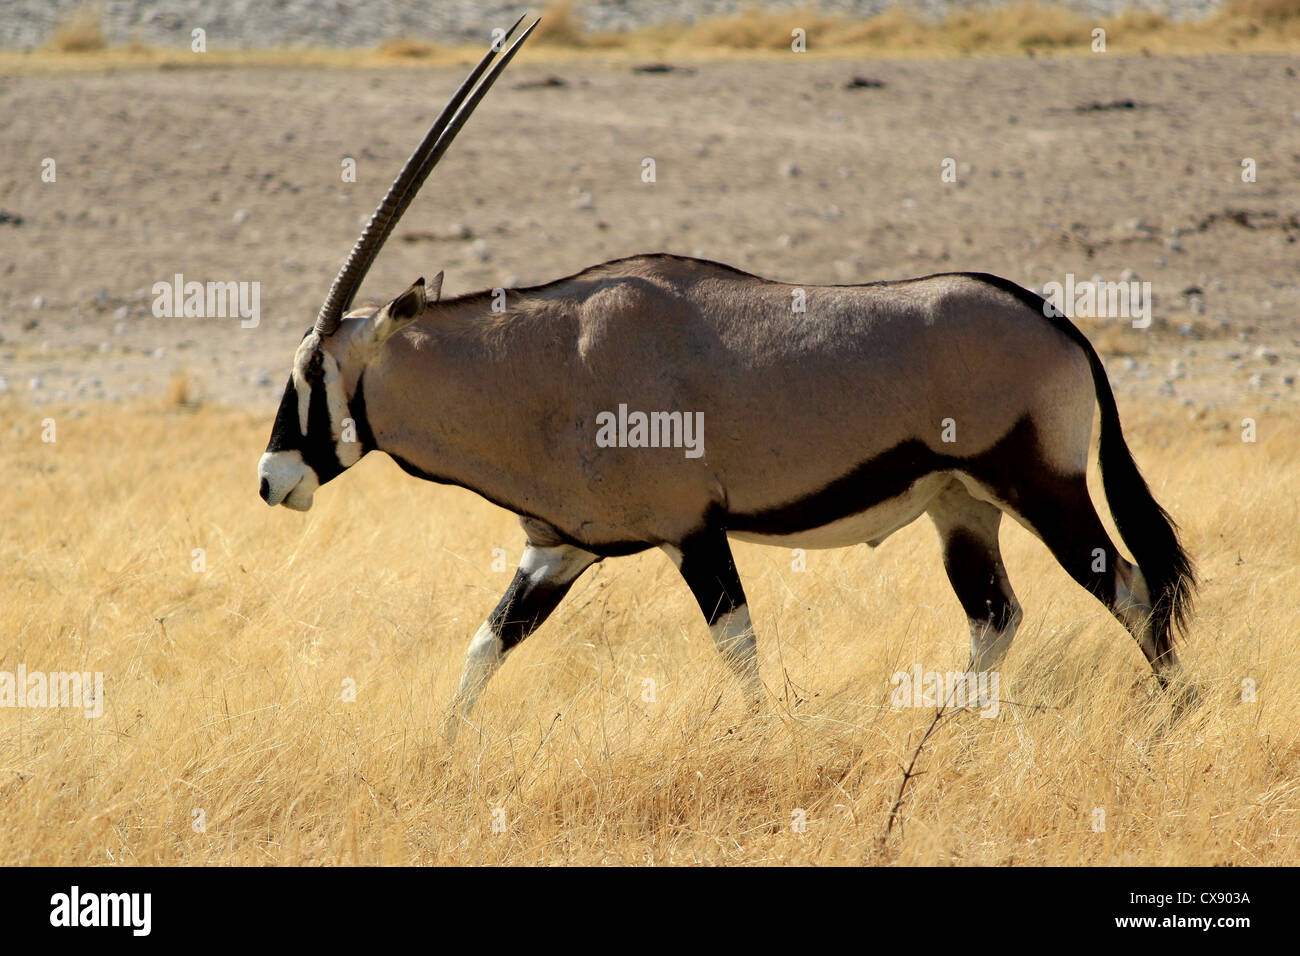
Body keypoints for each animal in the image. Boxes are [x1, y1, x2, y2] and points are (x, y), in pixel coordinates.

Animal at [256, 16, 1196, 738]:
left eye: (311, 369)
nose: (272, 481)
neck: (545, 365)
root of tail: (1054, 319)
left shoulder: (694, 531)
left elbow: (737, 645)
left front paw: (760, 740)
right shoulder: (556, 548)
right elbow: (487, 642)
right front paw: (441, 747)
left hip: (1040, 485)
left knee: (1130, 588)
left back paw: (1175, 719)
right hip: (960, 505)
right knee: (997, 614)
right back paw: (940, 730)